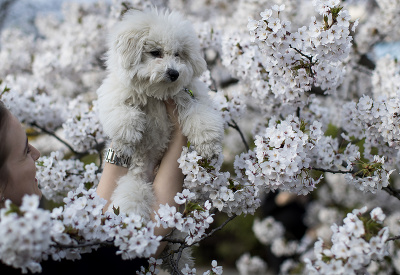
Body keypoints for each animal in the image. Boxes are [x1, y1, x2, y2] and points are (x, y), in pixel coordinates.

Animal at [95, 8, 223, 220]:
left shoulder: (191, 97)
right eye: (155, 53)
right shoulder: (114, 96)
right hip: (136, 180)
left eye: (178, 54)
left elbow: (200, 117)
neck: (156, 93)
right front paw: (125, 140)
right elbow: (124, 115)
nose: (174, 73)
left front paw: (208, 145)